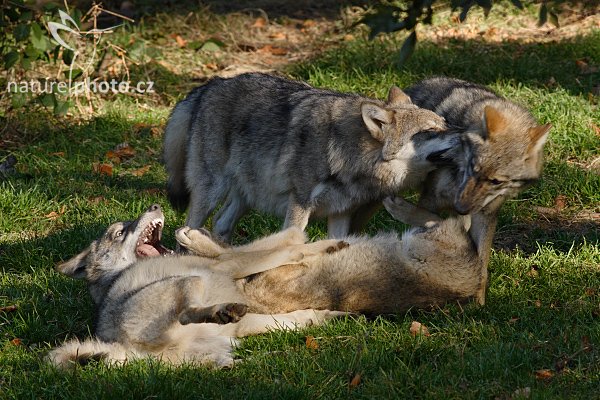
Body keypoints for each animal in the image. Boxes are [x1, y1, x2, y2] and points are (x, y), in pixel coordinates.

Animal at [164, 72, 454, 241]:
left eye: (445, 123)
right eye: (430, 131)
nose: (462, 135)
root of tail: (210, 85)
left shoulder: (341, 212)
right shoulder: (299, 204)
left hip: (247, 196)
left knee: (221, 223)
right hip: (211, 192)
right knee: (186, 229)